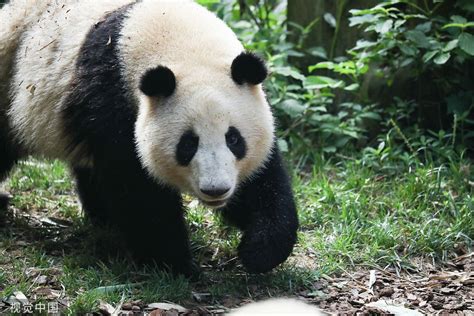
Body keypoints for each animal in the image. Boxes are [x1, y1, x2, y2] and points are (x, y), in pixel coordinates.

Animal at [0, 0, 298, 276]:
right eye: (188, 144)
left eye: (234, 139)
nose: (216, 190)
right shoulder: (110, 97)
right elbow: (138, 190)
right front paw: (175, 264)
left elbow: (262, 183)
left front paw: (258, 251)